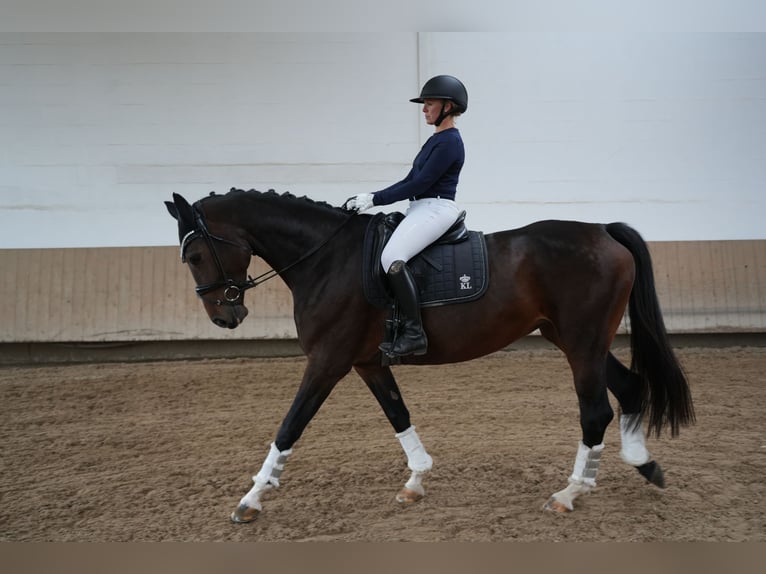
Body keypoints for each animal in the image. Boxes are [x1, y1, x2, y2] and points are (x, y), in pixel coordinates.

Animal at [165, 188, 695, 523]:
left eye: (196, 256)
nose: (225, 317)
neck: (326, 259)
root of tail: (603, 229)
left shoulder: (327, 363)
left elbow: (289, 427)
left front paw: (250, 500)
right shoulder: (367, 363)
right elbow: (398, 415)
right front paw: (415, 482)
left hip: (582, 343)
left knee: (596, 410)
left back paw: (569, 493)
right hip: (573, 339)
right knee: (630, 387)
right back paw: (642, 464)